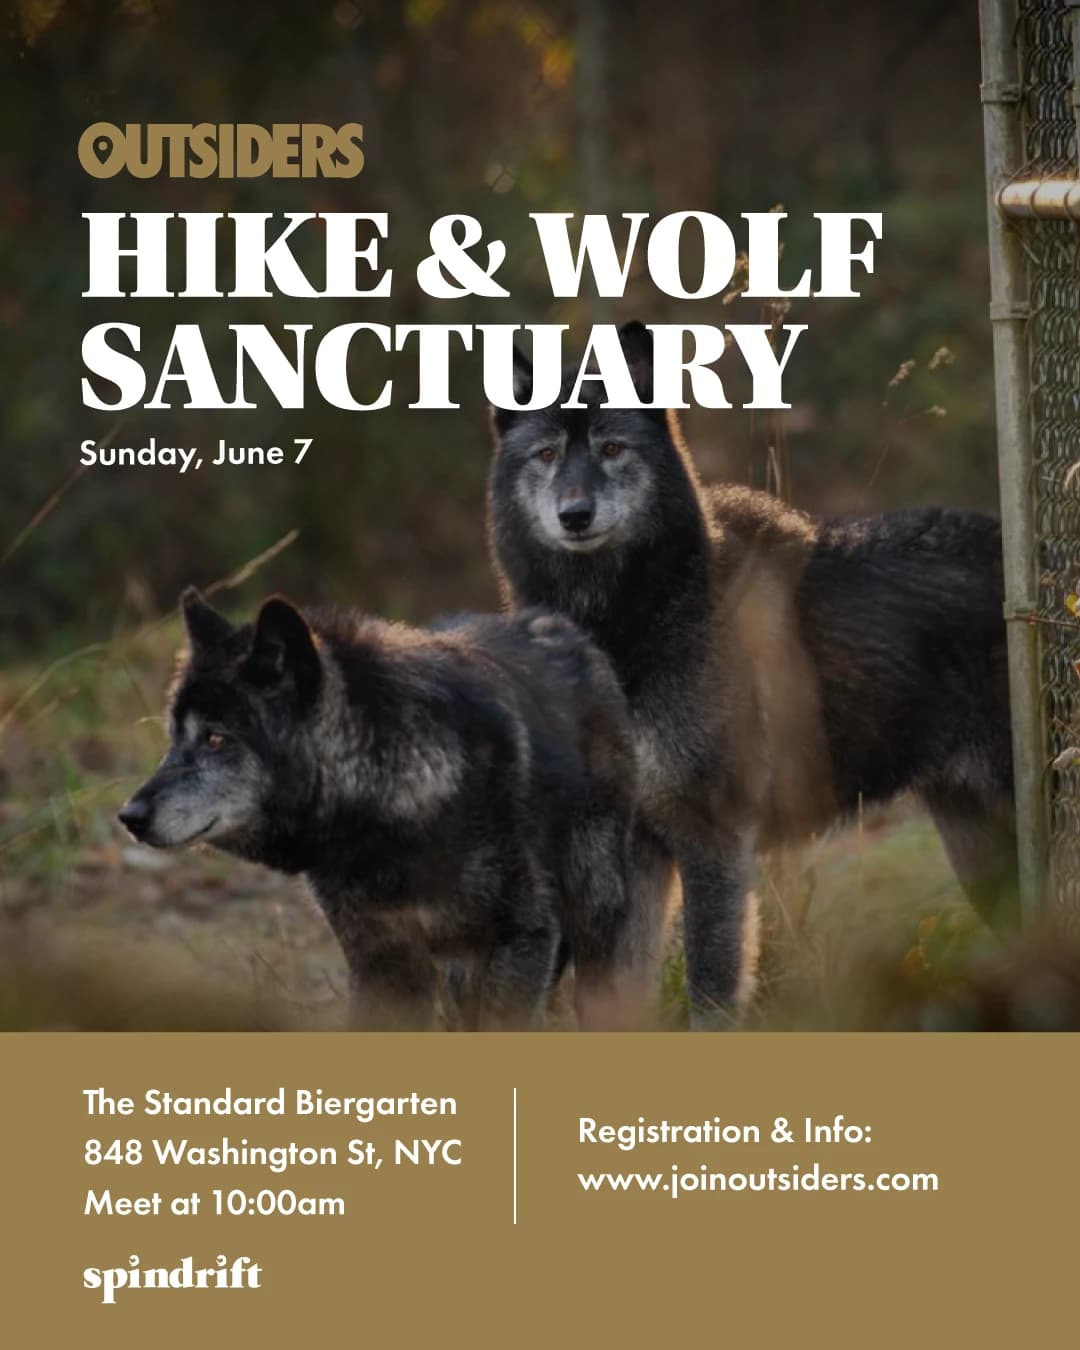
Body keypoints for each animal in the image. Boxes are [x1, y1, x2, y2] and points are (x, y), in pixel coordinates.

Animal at [119, 588, 645, 1030]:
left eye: (215, 738)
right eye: (173, 737)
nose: (129, 817)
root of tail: (562, 627)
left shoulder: (523, 937)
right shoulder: (383, 964)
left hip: (592, 918)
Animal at [488, 321, 1015, 1027]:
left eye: (611, 447)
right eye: (546, 454)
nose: (575, 514)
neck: (630, 621)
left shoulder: (712, 839)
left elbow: (711, 992)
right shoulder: (635, 852)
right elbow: (612, 1004)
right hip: (976, 843)